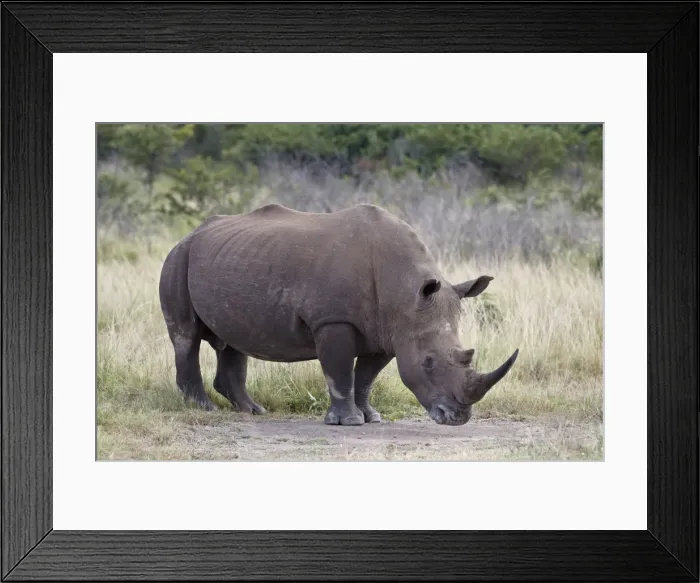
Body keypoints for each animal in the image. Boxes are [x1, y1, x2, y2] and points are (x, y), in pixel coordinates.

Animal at [159, 203, 518, 426]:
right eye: (428, 362)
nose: (457, 417)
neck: (404, 293)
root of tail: (188, 235)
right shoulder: (333, 320)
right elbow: (340, 371)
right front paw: (349, 421)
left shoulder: (386, 331)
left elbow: (366, 376)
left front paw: (371, 417)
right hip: (178, 258)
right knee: (186, 336)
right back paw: (204, 408)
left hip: (228, 258)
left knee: (233, 342)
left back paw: (252, 411)